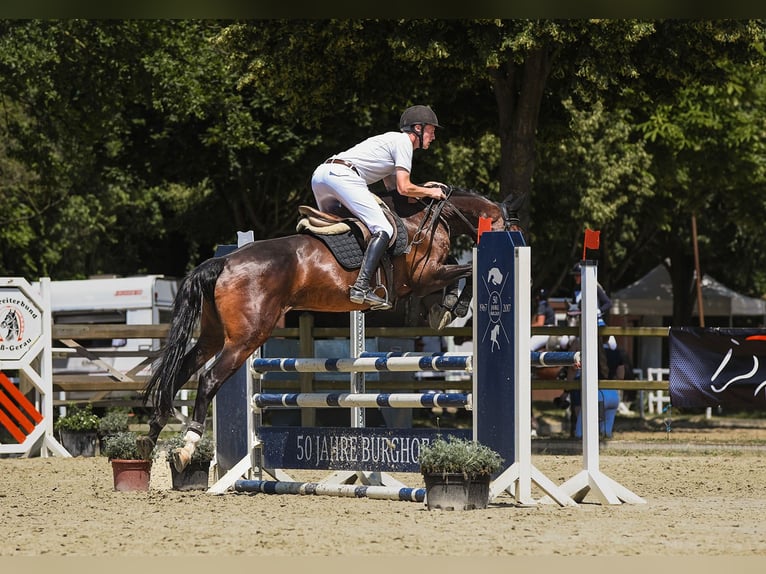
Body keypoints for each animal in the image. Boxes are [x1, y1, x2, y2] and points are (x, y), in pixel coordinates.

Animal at [140, 187, 520, 470]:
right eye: (510, 228)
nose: (516, 239)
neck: (425, 222)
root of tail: (223, 261)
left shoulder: (425, 279)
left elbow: (459, 271)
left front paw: (443, 309)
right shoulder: (424, 276)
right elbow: (465, 270)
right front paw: (452, 307)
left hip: (213, 335)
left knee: (180, 372)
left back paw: (151, 437)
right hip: (245, 338)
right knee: (207, 379)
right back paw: (187, 447)